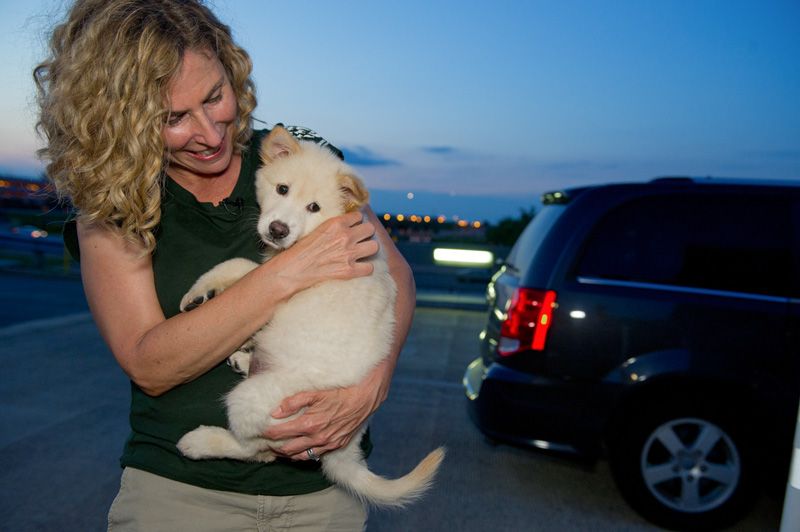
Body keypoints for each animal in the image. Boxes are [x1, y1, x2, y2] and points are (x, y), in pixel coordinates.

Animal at [174, 125, 444, 508]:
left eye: (314, 208)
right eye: (282, 189)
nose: (277, 230)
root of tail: (345, 448)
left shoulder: (280, 289)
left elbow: (240, 268)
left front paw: (200, 292)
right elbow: (242, 268)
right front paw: (203, 296)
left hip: (255, 401)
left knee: (258, 450)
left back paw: (201, 441)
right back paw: (245, 358)